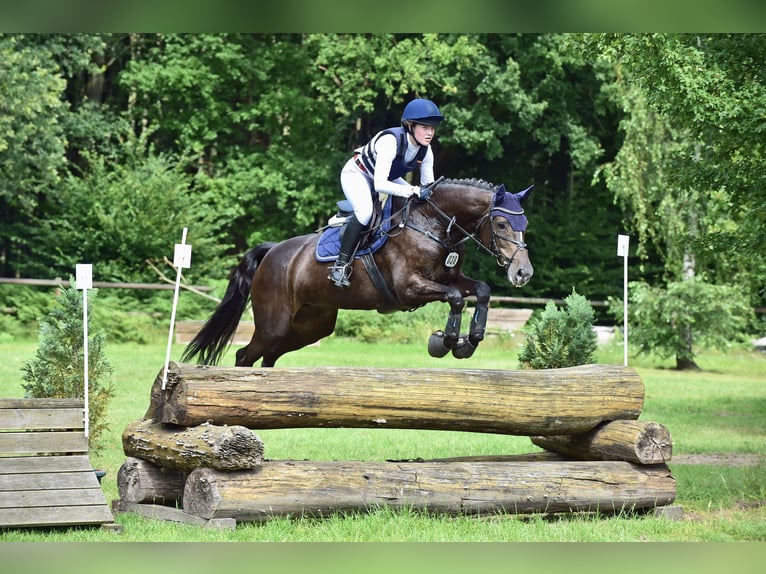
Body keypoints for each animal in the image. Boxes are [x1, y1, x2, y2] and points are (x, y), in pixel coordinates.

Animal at [181, 178, 533, 367]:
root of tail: (272, 251)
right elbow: (457, 298)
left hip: (311, 325)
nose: (523, 273)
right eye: (501, 224)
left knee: (270, 355)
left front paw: (470, 341)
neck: (433, 225)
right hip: (274, 322)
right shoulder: (410, 288)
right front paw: (445, 341)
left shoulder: (449, 278)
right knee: (245, 355)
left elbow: (481, 290)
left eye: (524, 223)